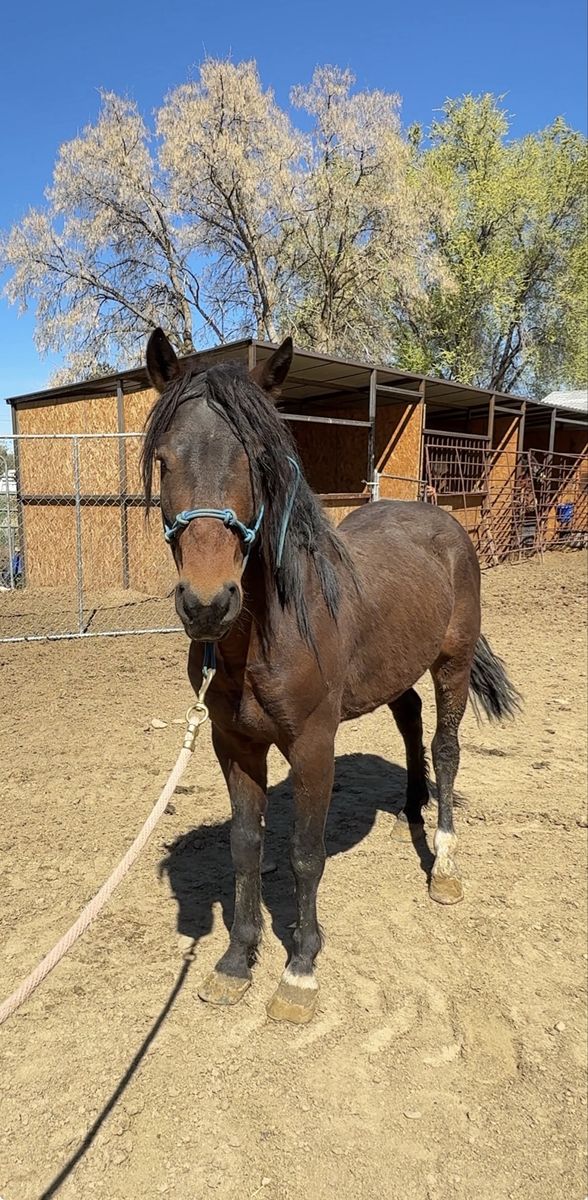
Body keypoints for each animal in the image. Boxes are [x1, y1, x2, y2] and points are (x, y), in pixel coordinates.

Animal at [142, 329, 519, 1025]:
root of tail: (446, 523)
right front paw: (235, 962)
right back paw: (409, 811)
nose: (207, 604)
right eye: (162, 460)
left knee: (446, 748)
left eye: (258, 461)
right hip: (396, 671)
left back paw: (444, 864)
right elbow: (245, 846)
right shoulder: (234, 745)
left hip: (451, 665)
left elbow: (304, 854)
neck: (267, 633)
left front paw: (300, 969)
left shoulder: (313, 744)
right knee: (409, 722)